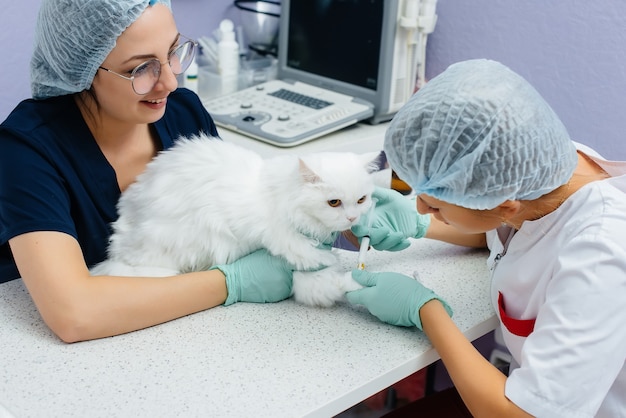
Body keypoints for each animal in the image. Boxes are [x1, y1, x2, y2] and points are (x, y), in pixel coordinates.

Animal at [89, 134, 380, 306]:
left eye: (361, 200)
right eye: (334, 202)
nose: (353, 217)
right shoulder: (287, 245)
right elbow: (324, 268)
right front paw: (361, 281)